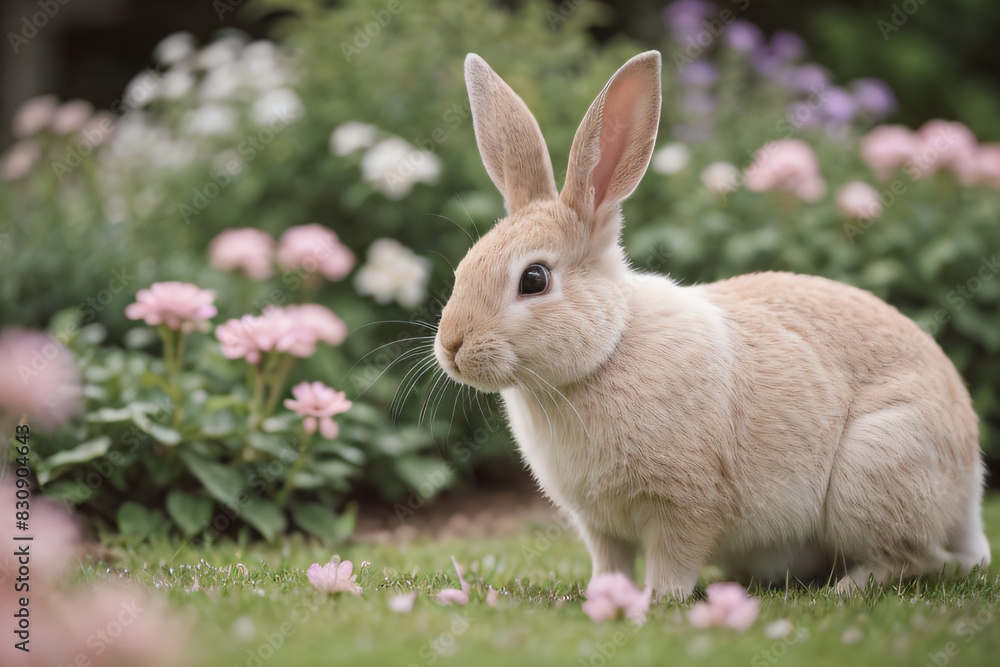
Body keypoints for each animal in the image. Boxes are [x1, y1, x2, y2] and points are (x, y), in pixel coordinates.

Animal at [433, 50, 991, 599]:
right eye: (462, 268)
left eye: (534, 279)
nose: (452, 347)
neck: (609, 350)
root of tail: (969, 488)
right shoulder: (599, 524)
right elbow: (610, 562)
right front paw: (604, 596)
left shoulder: (686, 505)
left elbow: (674, 562)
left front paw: (656, 603)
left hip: (875, 466)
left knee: (918, 558)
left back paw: (846, 588)